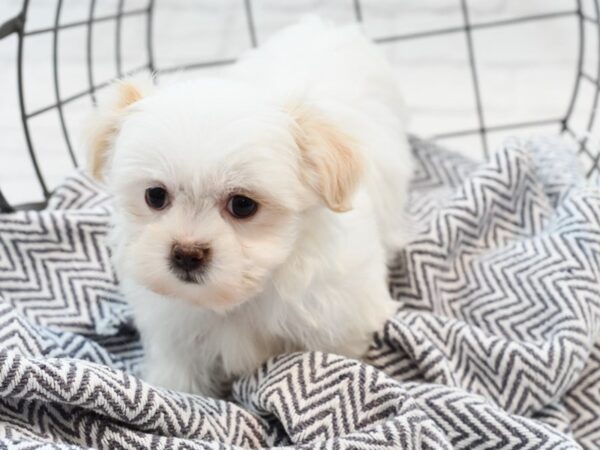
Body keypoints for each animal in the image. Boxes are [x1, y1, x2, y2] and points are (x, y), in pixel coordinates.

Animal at [85, 18, 412, 398]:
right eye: (155, 196)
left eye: (242, 205)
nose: (186, 254)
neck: (242, 296)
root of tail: (324, 25)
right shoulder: (176, 331)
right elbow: (177, 378)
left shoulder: (338, 320)